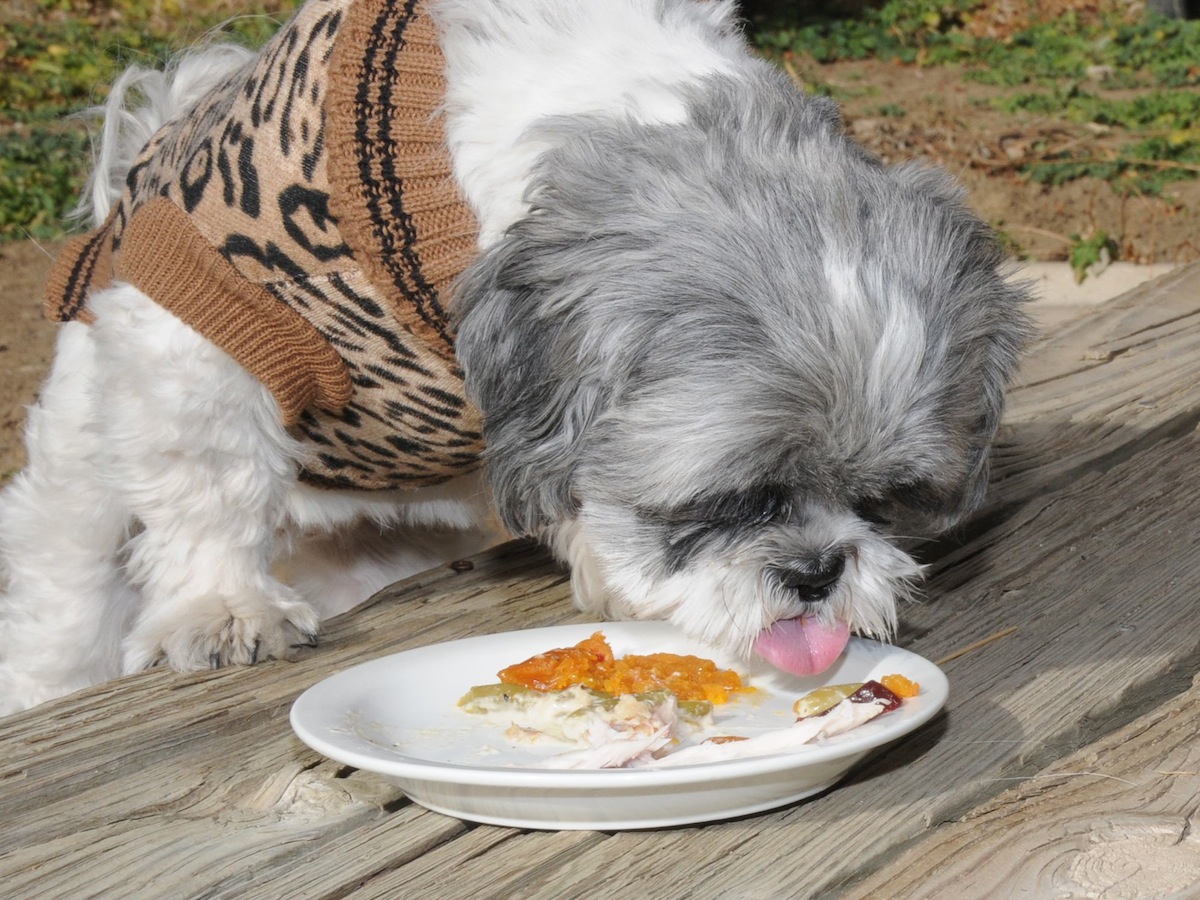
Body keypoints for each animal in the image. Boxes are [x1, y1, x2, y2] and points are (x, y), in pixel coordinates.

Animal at [0, 1, 1032, 720]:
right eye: (733, 499)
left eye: (885, 500)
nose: (819, 572)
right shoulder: (204, 321)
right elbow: (209, 477)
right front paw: (222, 606)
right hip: (80, 492)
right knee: (67, 596)